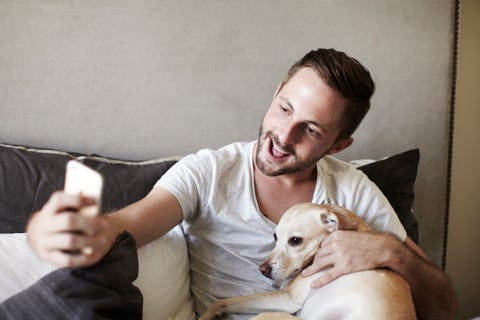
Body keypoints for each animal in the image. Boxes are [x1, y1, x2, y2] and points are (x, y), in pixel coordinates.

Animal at [199, 204, 416, 318]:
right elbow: (222, 302)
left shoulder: (287, 299)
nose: (262, 270)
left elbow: (225, 301)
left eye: (295, 240)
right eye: (275, 237)